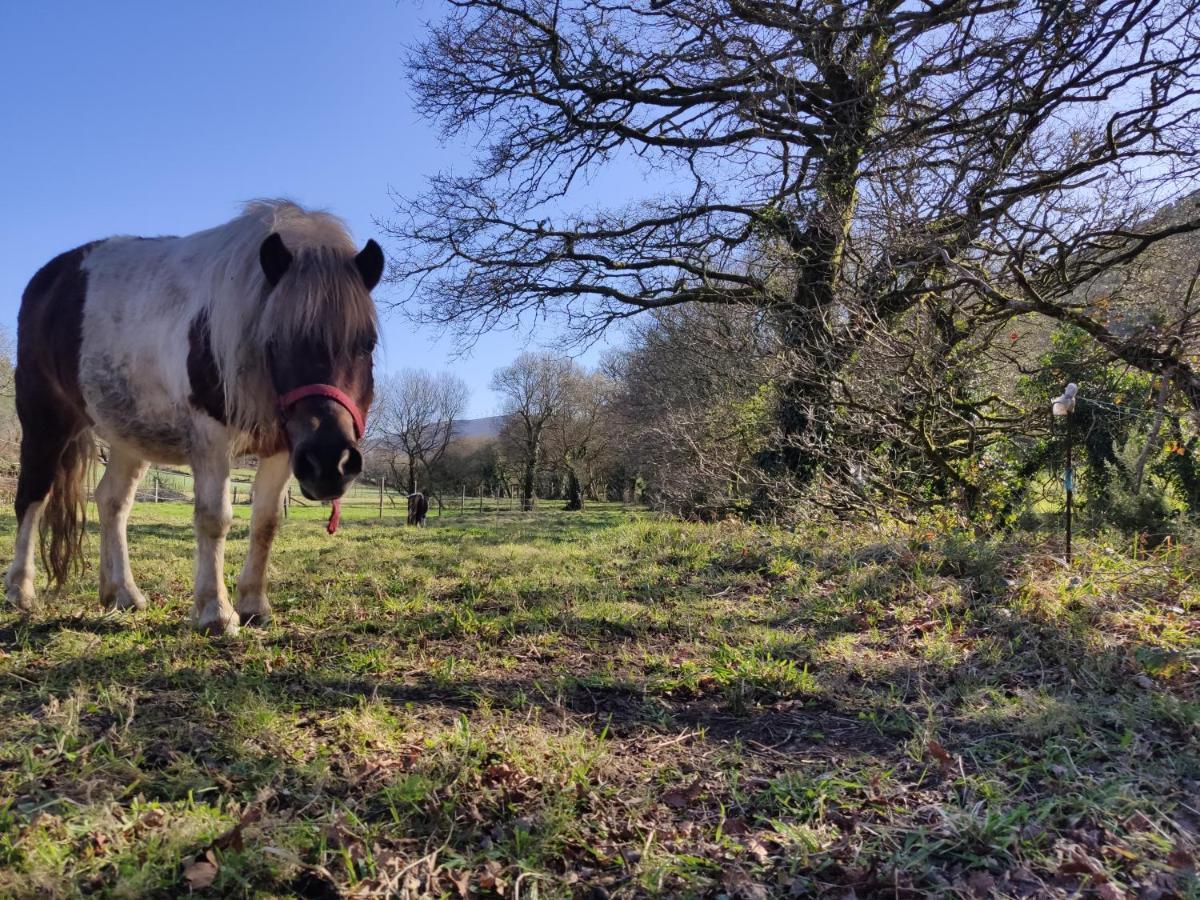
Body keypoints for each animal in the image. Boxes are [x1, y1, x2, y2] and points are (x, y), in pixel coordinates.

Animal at [3, 199, 379, 633]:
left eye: (367, 343)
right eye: (275, 341)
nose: (331, 463)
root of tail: (48, 279)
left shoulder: (283, 447)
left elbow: (266, 522)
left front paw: (254, 606)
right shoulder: (212, 438)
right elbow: (215, 518)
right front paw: (216, 611)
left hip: (129, 436)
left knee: (112, 501)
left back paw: (121, 593)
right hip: (45, 422)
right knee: (32, 499)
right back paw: (20, 591)